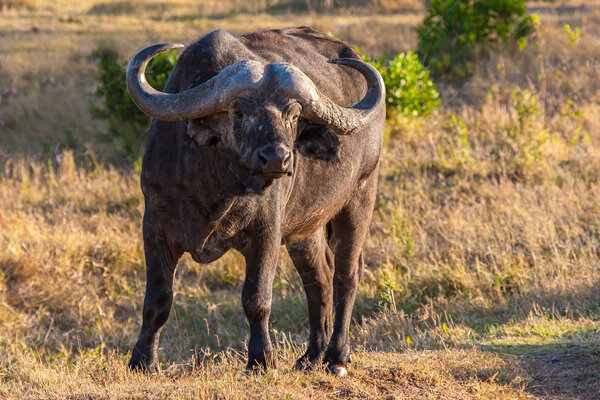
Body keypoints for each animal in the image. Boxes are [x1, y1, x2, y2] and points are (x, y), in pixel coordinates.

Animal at [126, 26, 384, 376]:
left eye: (294, 114)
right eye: (239, 112)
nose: (277, 158)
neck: (216, 184)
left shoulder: (266, 232)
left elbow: (256, 298)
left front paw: (261, 360)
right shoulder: (155, 225)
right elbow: (157, 299)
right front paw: (142, 361)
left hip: (359, 199)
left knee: (346, 275)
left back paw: (337, 357)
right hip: (305, 229)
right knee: (318, 279)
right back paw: (310, 357)